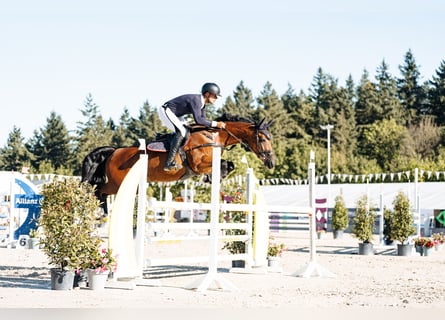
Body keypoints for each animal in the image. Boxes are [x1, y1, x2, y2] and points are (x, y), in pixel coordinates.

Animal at [80, 114, 274, 214]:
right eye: (263, 138)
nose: (271, 162)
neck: (212, 135)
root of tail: (113, 151)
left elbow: (229, 165)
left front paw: (214, 177)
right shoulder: (197, 164)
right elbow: (220, 166)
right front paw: (211, 177)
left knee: (100, 192)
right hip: (118, 183)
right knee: (98, 190)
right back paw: (101, 213)